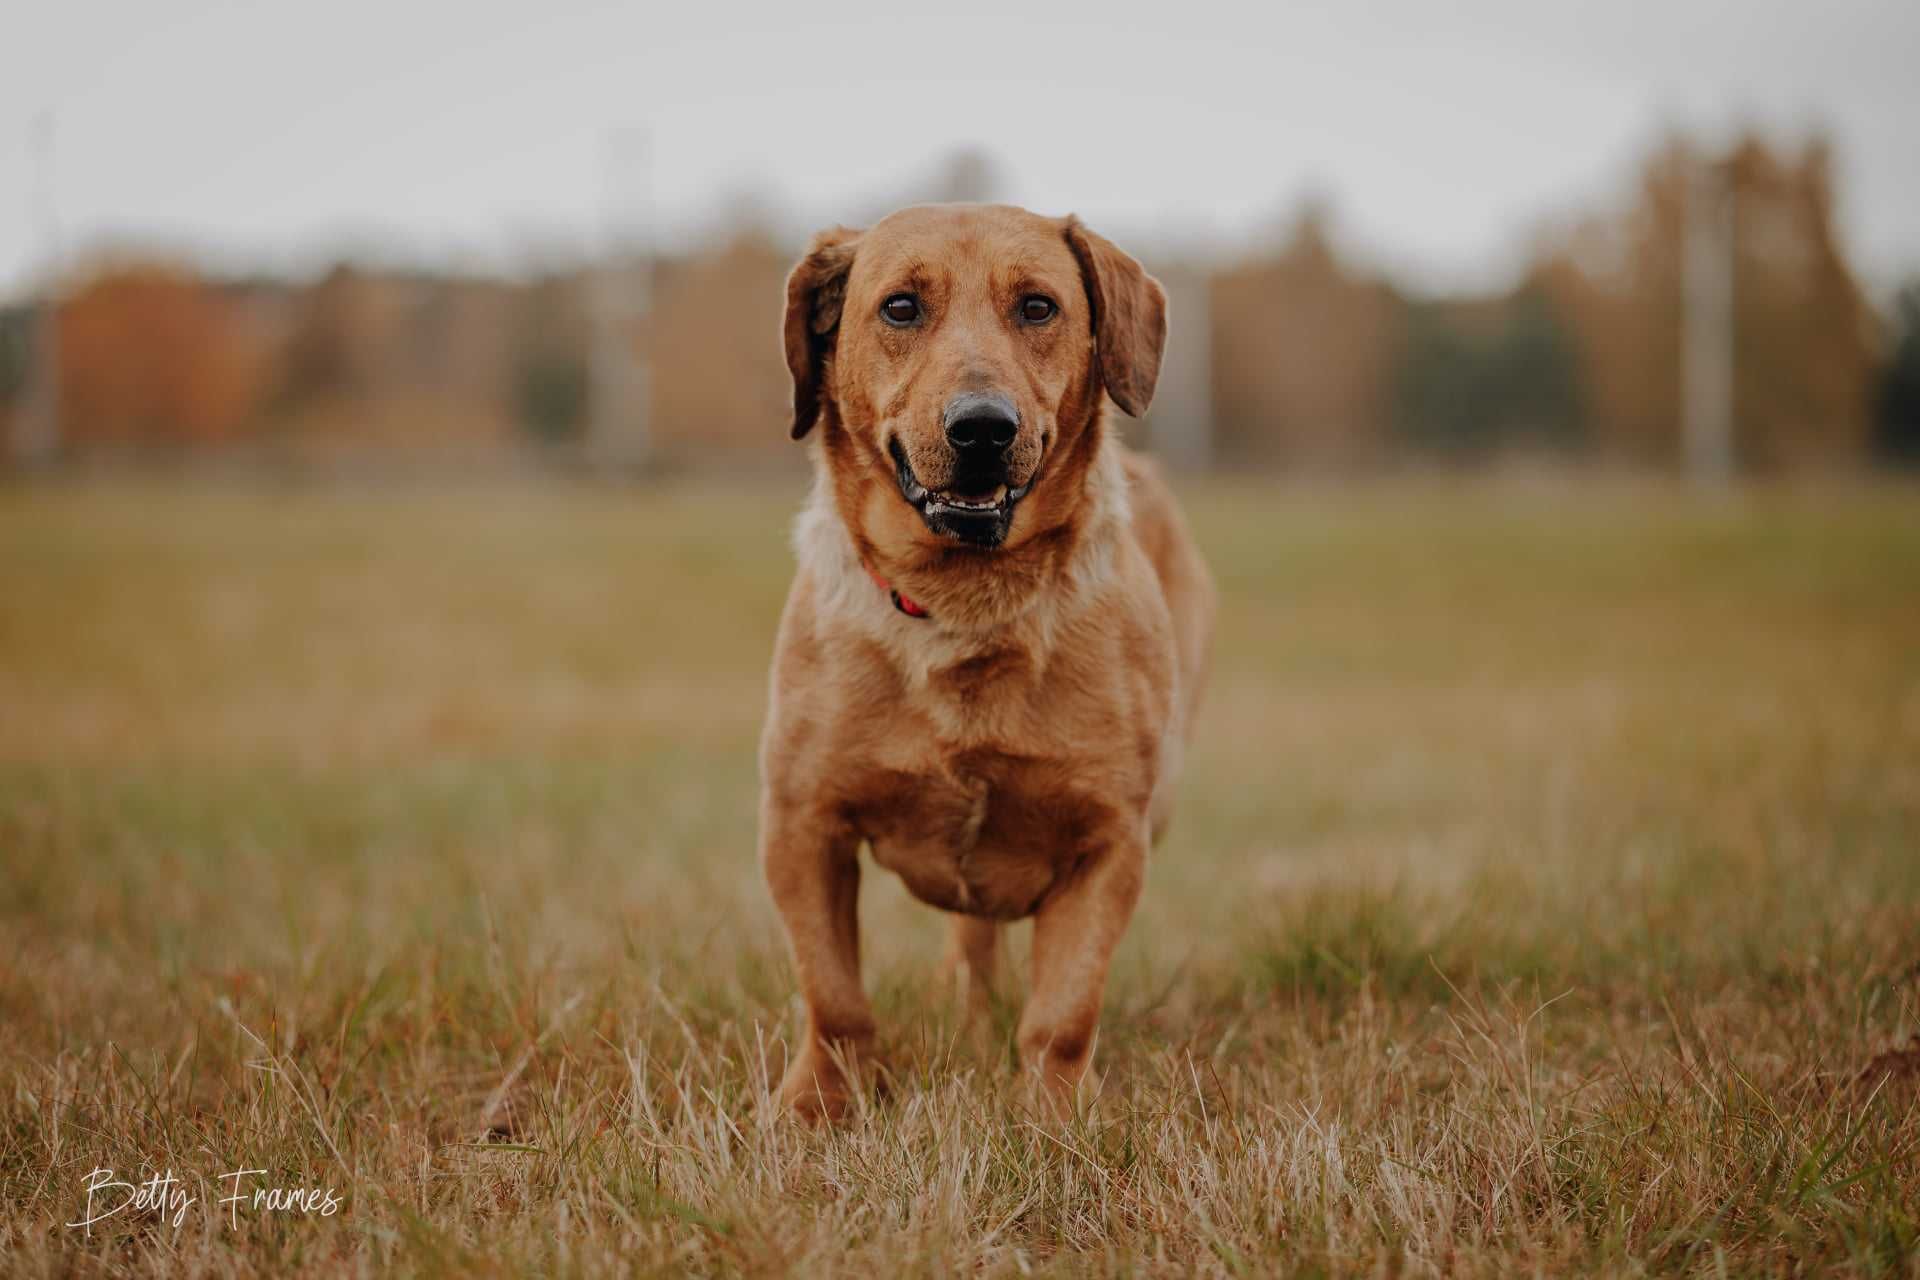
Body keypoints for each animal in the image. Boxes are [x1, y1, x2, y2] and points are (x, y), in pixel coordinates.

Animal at [752, 202, 1213, 1120]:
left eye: (1037, 307)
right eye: (900, 308)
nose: (982, 427)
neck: (966, 607)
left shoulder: (1111, 839)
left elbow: (1063, 1014)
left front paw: (1056, 1115)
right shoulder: (800, 823)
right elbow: (834, 997)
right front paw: (817, 1106)